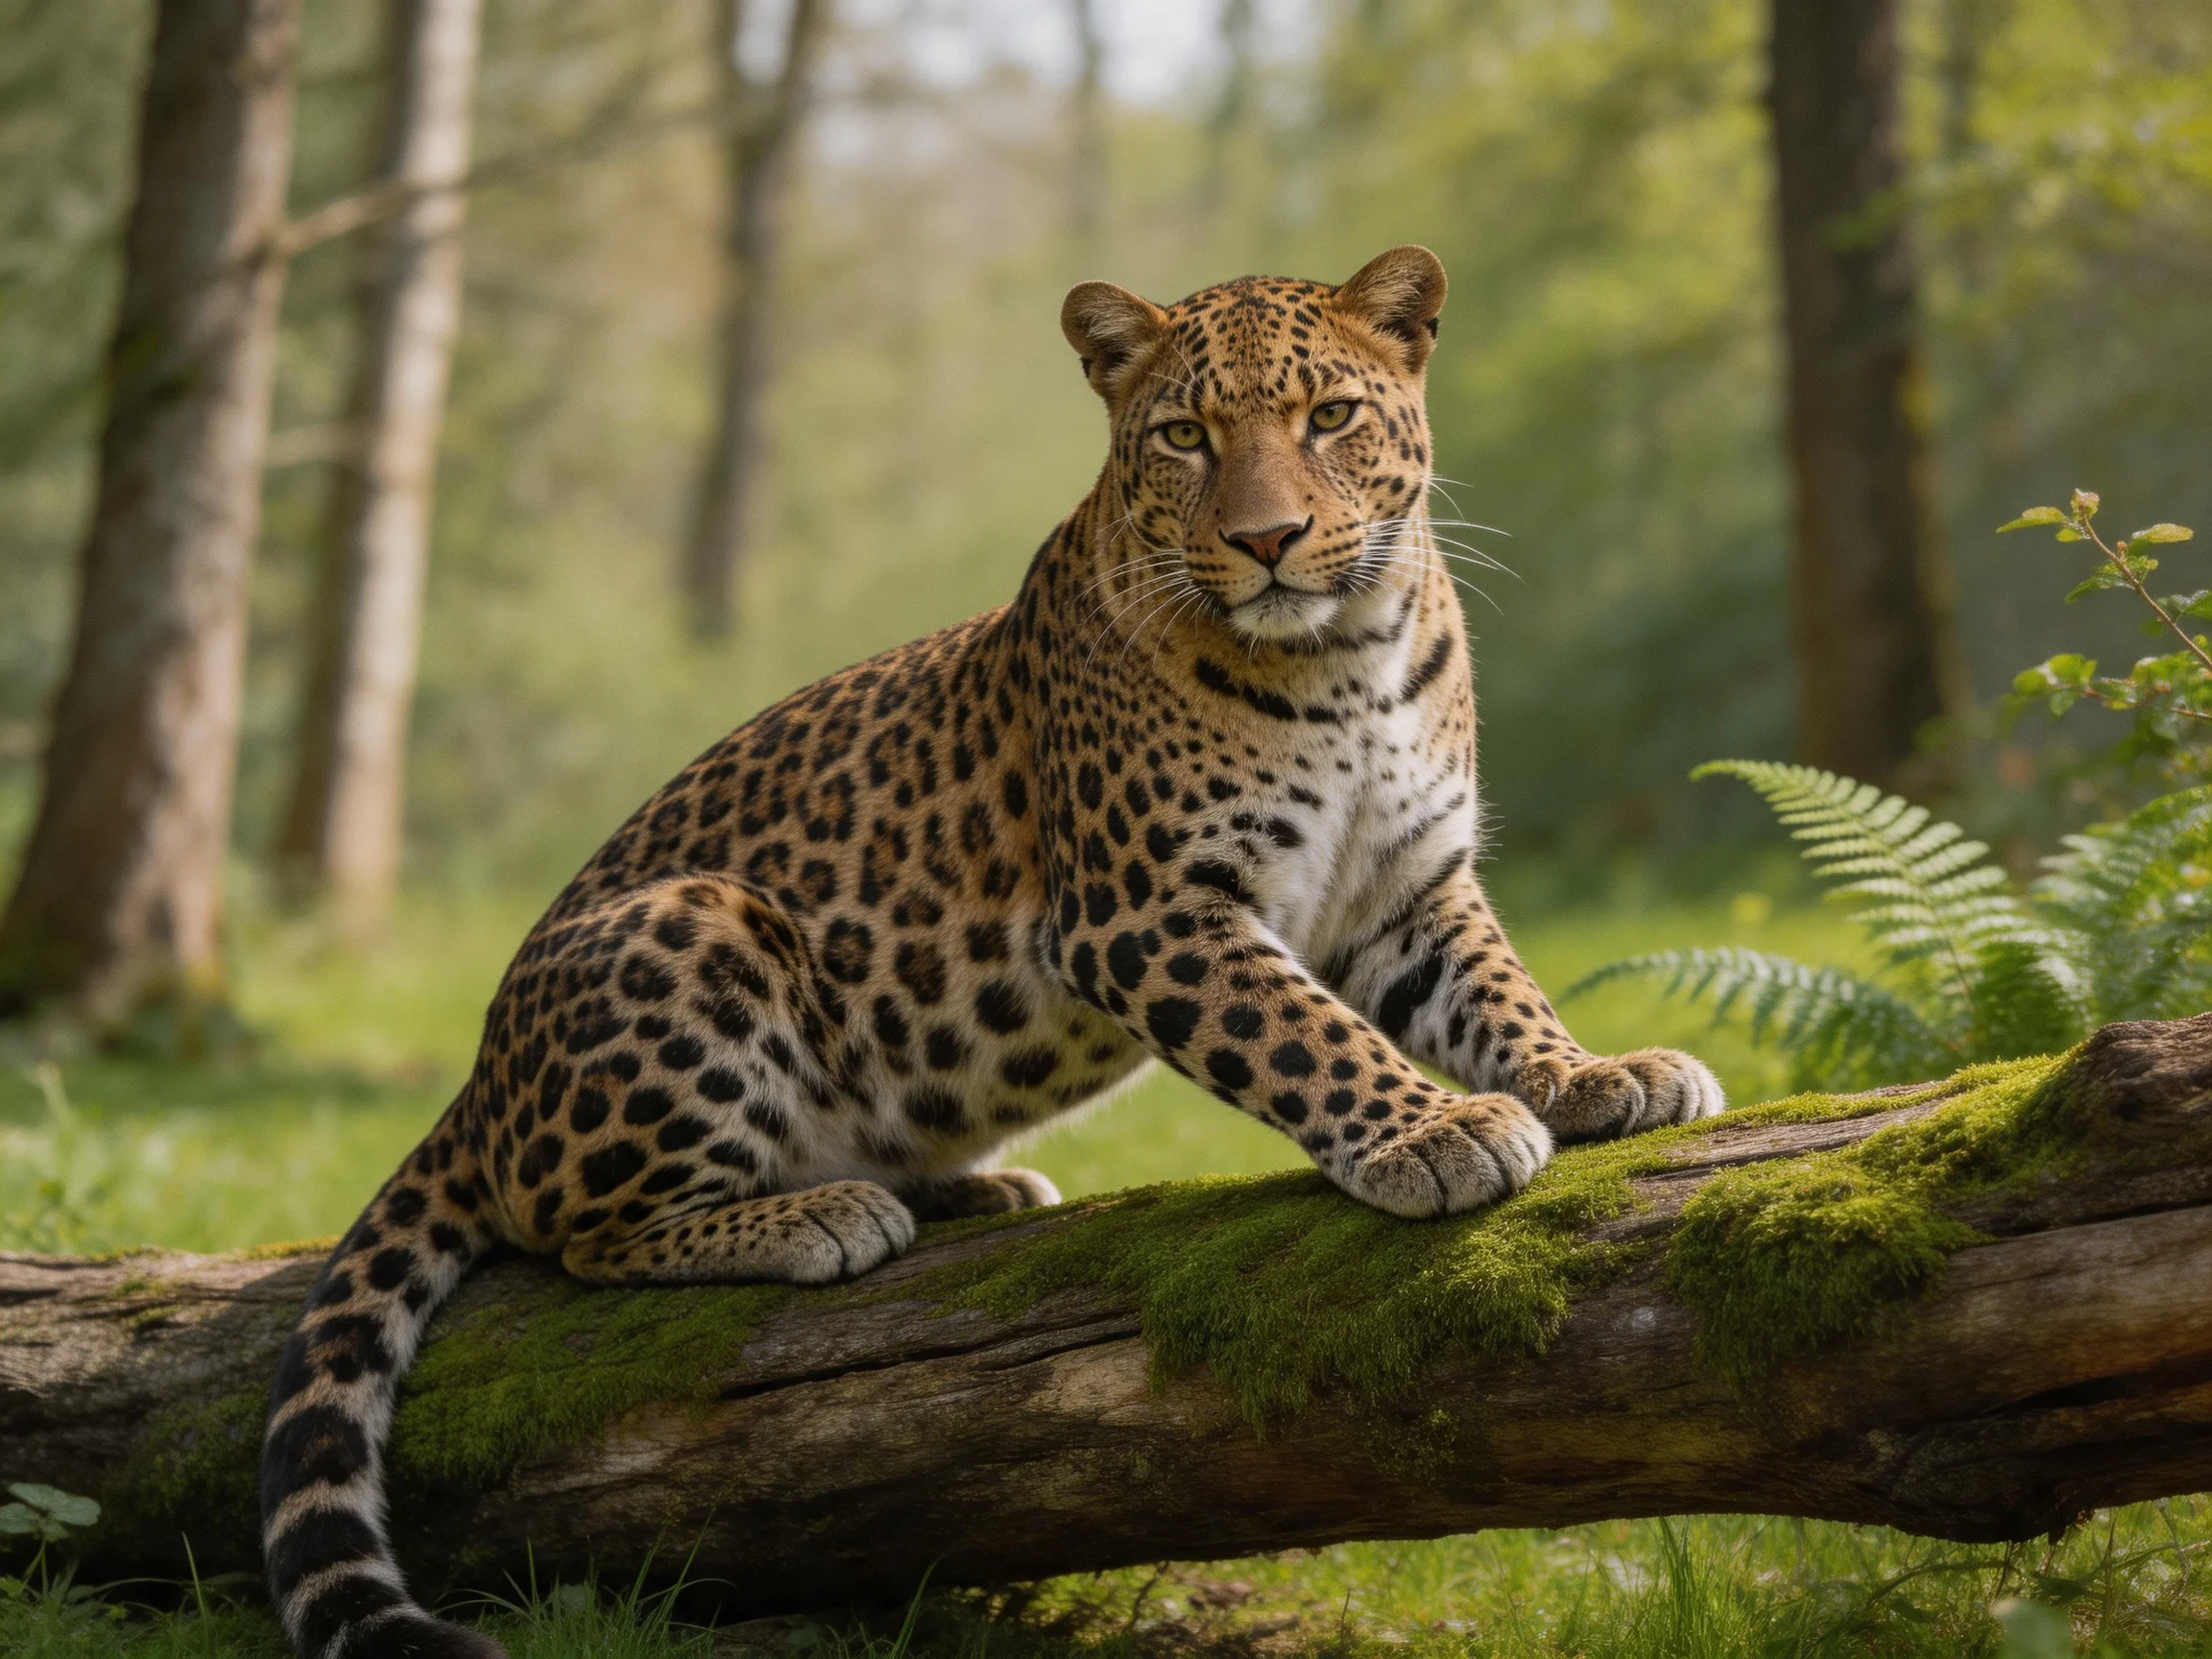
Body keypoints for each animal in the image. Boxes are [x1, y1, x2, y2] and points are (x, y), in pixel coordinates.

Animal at [257, 245, 1724, 1659]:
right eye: (1184, 436)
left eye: (1330, 416)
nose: (1267, 540)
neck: (1346, 662)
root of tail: (473, 1086)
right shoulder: (1145, 909)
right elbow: (1307, 1033)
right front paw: (1435, 1131)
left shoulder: (1411, 889)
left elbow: (1498, 992)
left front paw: (1594, 1077)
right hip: (695, 924)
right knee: (574, 1234)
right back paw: (818, 1214)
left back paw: (975, 1188)